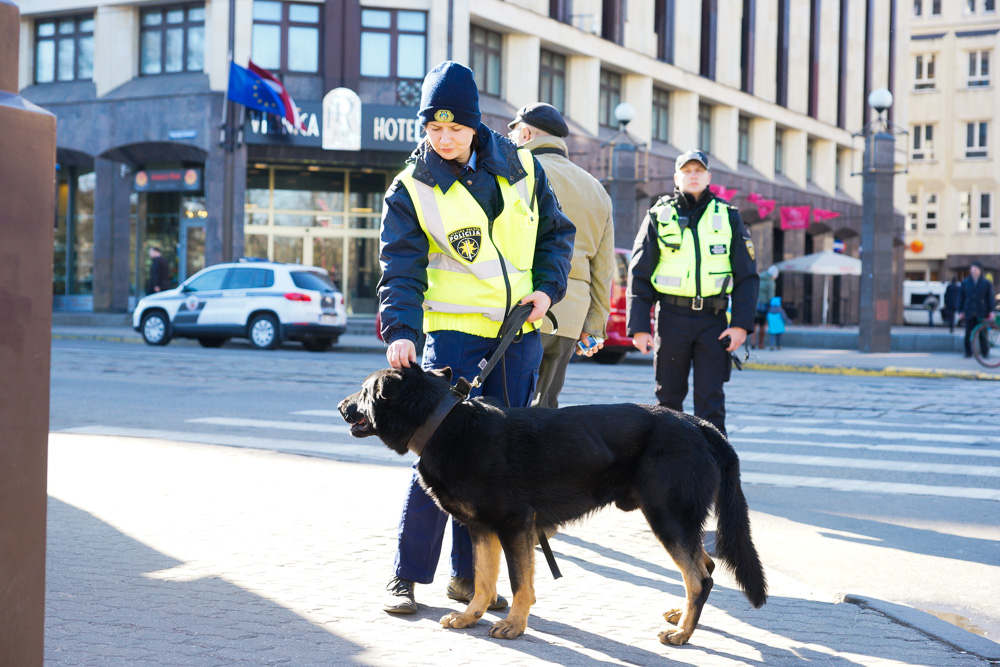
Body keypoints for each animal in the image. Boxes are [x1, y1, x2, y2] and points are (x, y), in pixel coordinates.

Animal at [336, 366, 764, 648]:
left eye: (363, 392)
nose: (340, 405)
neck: (442, 422)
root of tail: (699, 425)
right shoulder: (482, 530)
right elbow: (484, 580)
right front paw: (472, 616)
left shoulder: (514, 526)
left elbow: (518, 582)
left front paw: (514, 624)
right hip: (675, 522)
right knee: (703, 567)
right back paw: (682, 615)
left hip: (667, 518)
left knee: (700, 577)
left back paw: (682, 633)